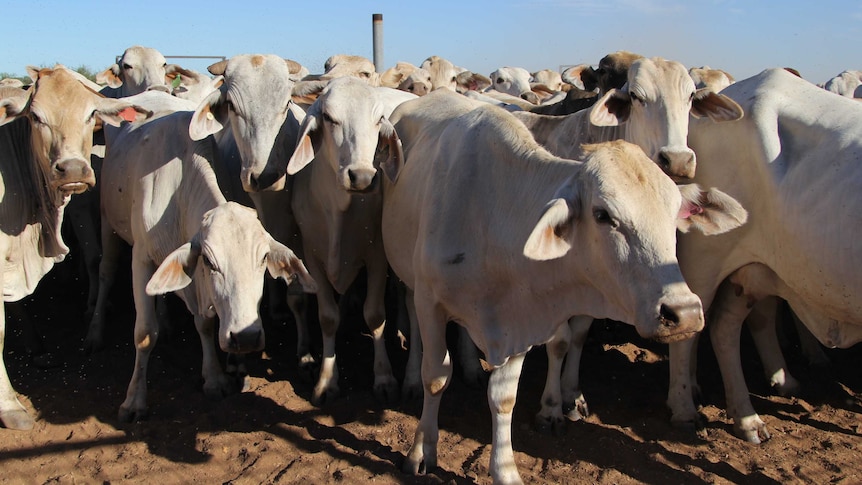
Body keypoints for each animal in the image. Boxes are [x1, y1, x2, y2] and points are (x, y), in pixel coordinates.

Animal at [98, 105, 318, 420]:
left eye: (263, 258)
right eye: (210, 261)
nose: (246, 337)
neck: (178, 192)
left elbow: (204, 322)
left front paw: (214, 378)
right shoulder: (142, 258)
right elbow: (144, 333)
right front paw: (133, 401)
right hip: (107, 221)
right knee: (104, 272)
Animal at [382, 88, 744, 484]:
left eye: (675, 213)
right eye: (603, 215)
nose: (684, 312)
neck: (492, 214)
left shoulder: (520, 316)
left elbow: (504, 397)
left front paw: (505, 469)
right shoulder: (432, 301)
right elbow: (435, 377)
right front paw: (421, 451)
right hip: (407, 278)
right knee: (412, 319)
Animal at [680, 67, 862, 442]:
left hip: (755, 268)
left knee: (725, 326)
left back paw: (751, 412)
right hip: (706, 259)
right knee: (691, 332)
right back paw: (685, 408)